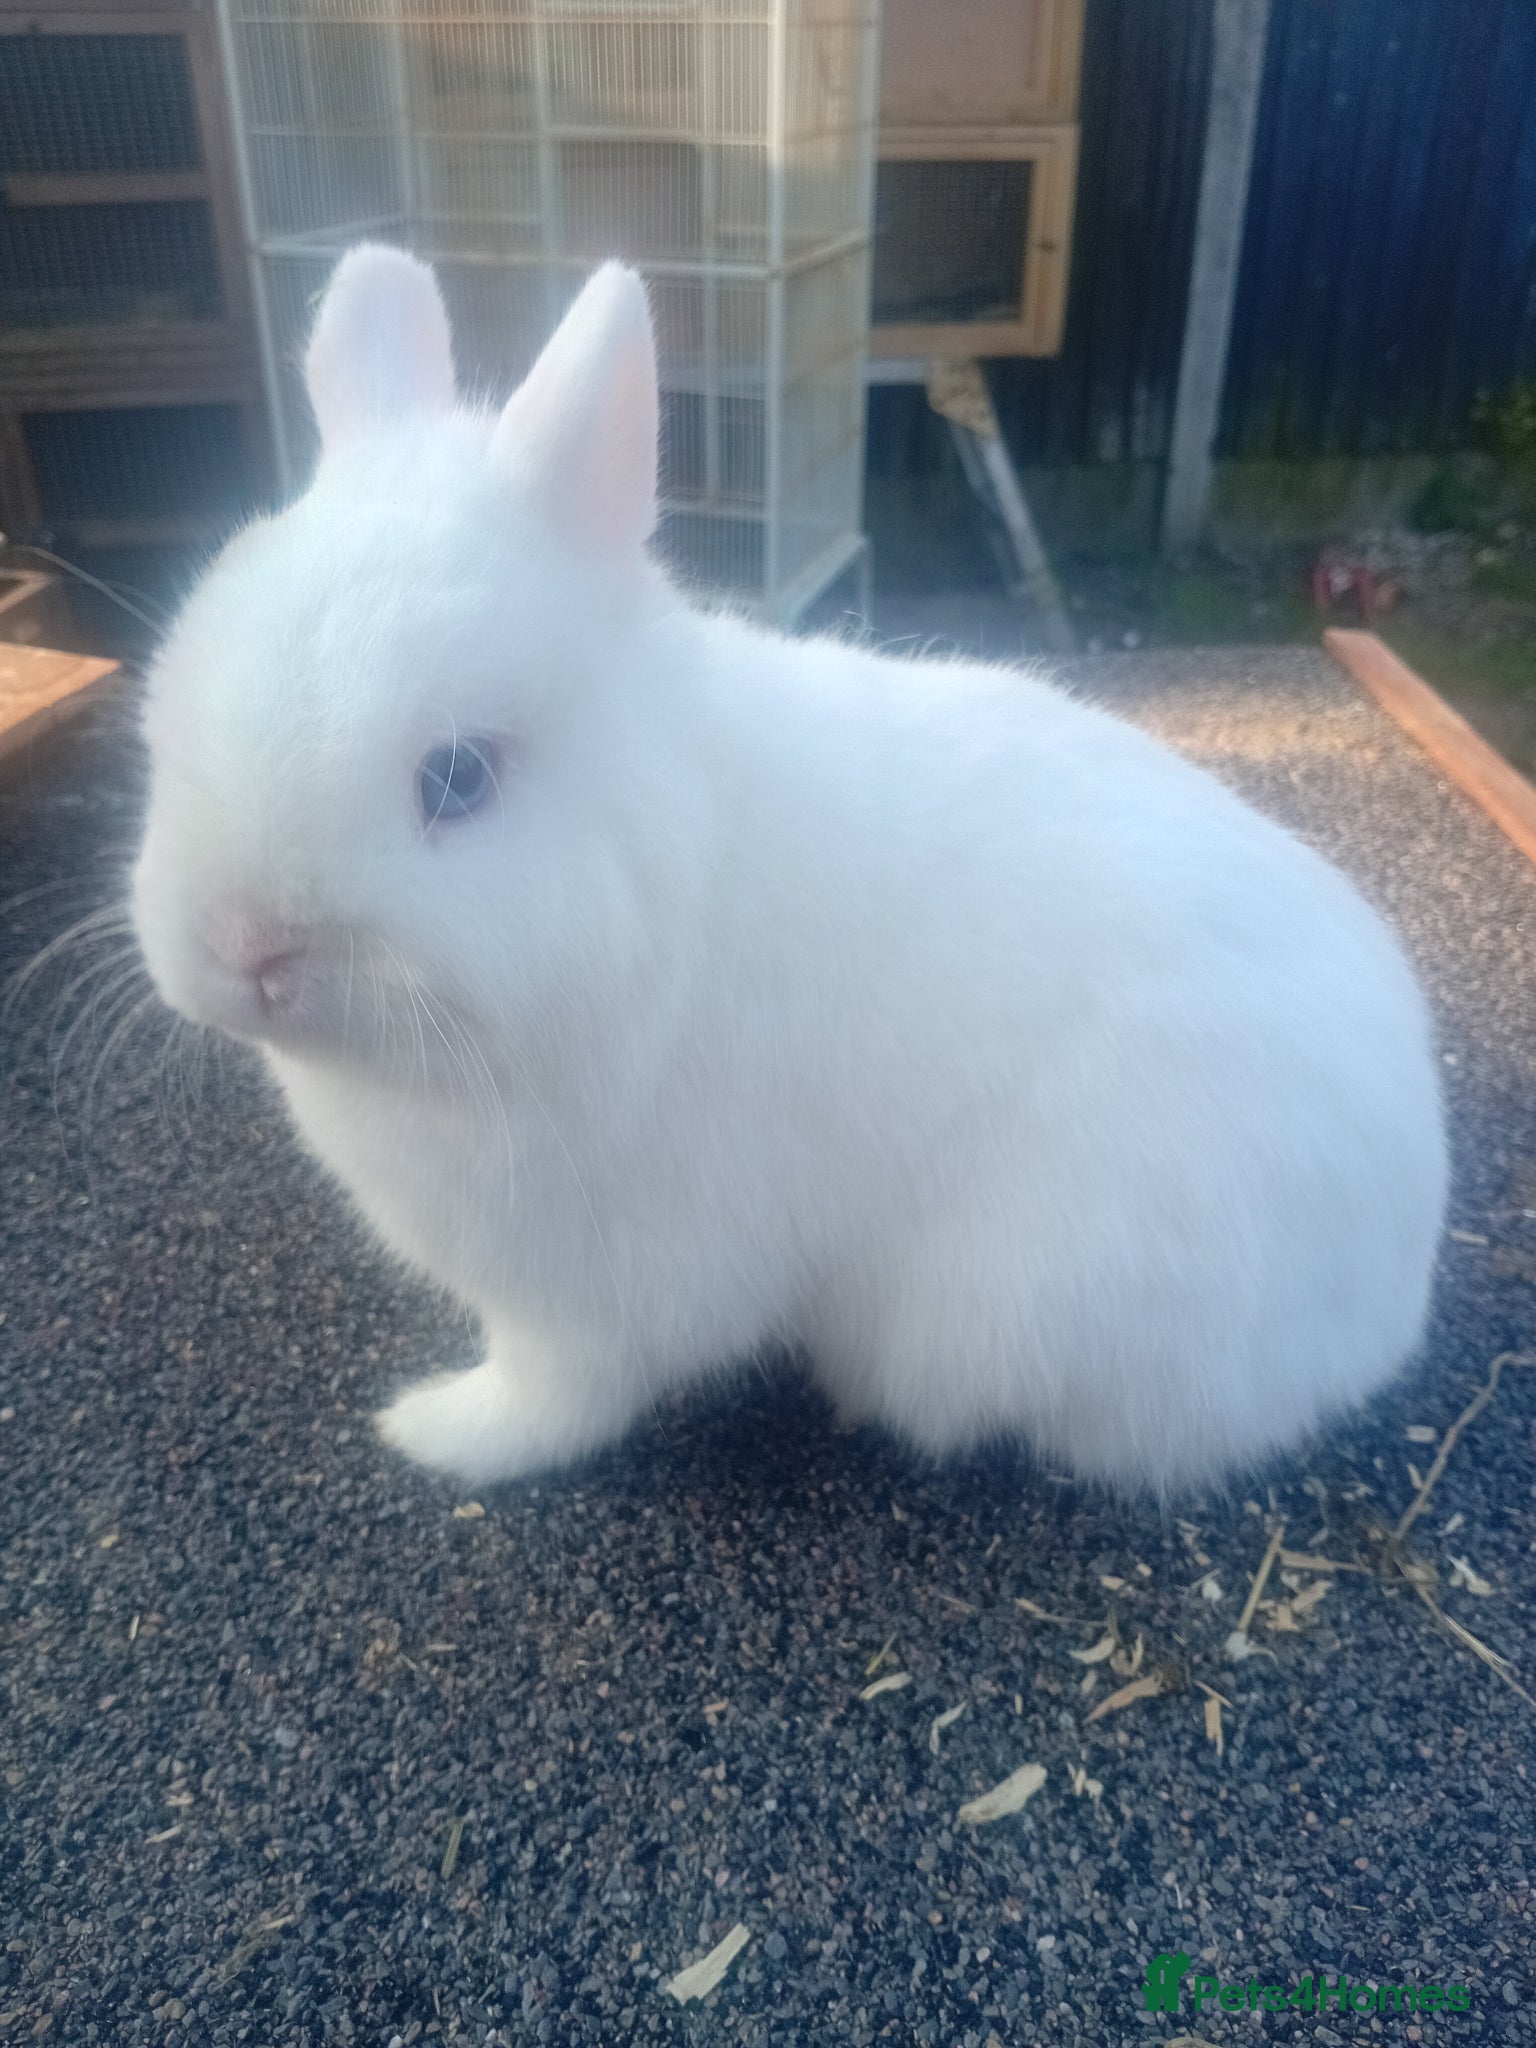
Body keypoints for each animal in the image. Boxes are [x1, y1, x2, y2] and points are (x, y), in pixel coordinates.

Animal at [131, 245, 1448, 1493]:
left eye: (457, 779)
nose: (244, 946)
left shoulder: (606, 1281)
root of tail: (1391, 1294)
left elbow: (560, 1394)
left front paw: (440, 1435)